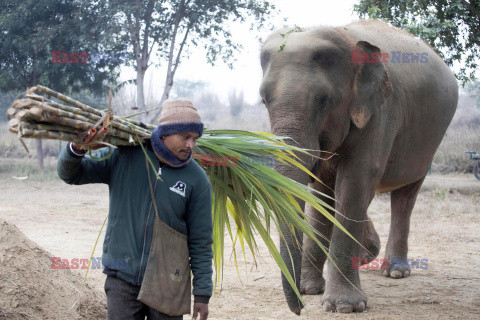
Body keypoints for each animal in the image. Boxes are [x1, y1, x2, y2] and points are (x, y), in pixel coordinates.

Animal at [260, 18, 460, 314]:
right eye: (264, 100)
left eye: (324, 100)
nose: (299, 308)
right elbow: (323, 192)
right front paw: (309, 289)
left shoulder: (381, 109)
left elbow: (355, 181)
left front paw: (345, 307)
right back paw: (367, 256)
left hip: (428, 144)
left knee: (406, 196)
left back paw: (395, 271)